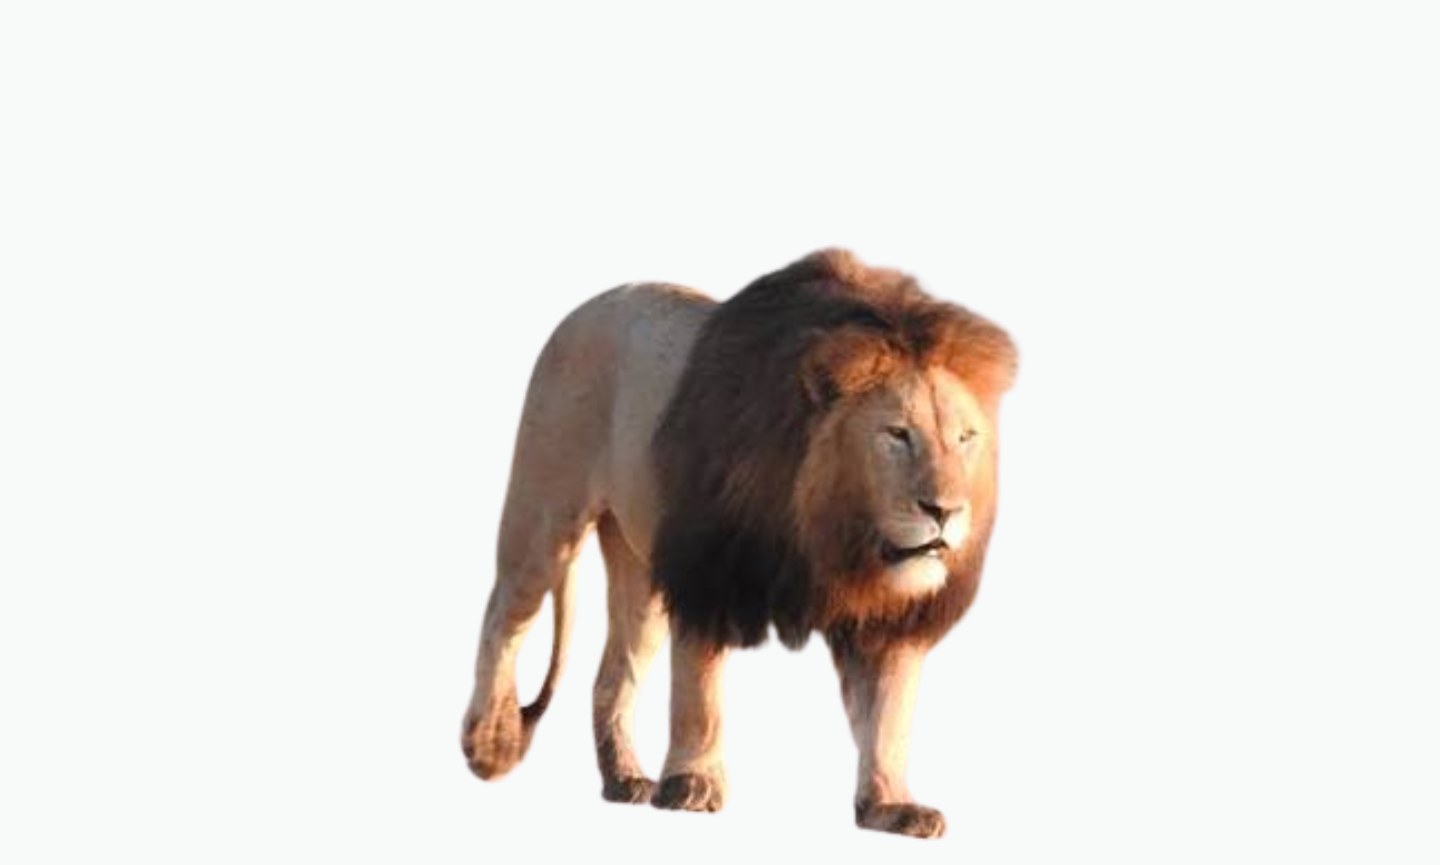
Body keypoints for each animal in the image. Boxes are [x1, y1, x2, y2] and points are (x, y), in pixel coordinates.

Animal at [461, 249, 1017, 839]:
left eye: (964, 439)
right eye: (897, 434)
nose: (945, 511)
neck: (835, 533)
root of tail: (590, 304)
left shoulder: (888, 619)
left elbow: (888, 712)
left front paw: (891, 806)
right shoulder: (708, 570)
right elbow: (699, 691)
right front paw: (693, 784)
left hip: (640, 570)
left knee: (613, 674)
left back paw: (624, 778)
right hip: (544, 515)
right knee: (504, 618)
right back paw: (488, 745)